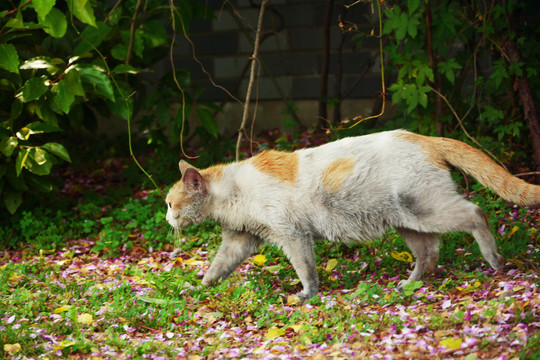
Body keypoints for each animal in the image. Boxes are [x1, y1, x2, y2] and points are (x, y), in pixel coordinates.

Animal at [166, 129, 540, 298]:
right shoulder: (241, 239)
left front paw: (307, 295)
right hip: (408, 221)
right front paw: (200, 286)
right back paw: (410, 283)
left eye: (171, 204)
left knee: (475, 213)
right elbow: (218, 266)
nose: (167, 218)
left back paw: (494, 260)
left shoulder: (292, 235)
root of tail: (423, 137)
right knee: (430, 252)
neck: (231, 192)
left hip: (427, 209)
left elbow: (305, 268)